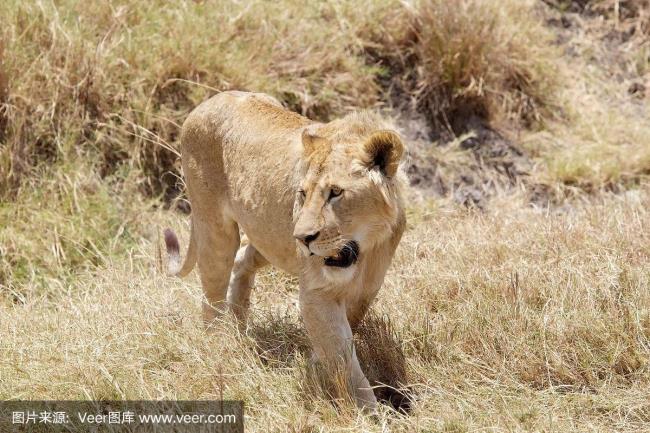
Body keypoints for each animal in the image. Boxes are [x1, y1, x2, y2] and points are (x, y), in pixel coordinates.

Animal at [165, 91, 402, 408]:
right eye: (303, 193)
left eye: (336, 192)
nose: (302, 237)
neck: (365, 251)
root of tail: (211, 100)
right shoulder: (317, 292)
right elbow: (343, 356)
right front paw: (369, 411)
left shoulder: (367, 288)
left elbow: (342, 334)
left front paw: (315, 362)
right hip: (215, 227)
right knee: (212, 294)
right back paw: (219, 344)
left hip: (268, 238)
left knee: (242, 258)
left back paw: (239, 325)